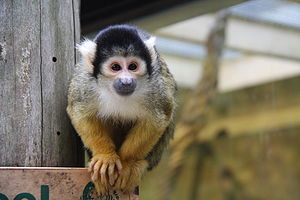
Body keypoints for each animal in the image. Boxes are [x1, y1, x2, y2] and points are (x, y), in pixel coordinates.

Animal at [67, 24, 177, 195]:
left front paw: (127, 163)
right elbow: (79, 111)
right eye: (115, 67)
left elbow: (161, 116)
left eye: (132, 67)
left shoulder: (156, 84)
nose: (126, 81)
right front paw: (105, 157)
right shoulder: (85, 81)